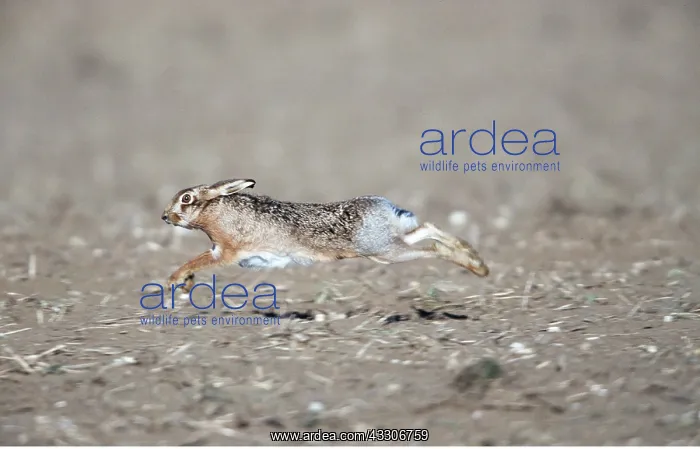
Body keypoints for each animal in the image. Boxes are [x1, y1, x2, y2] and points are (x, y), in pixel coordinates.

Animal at [161, 178, 489, 293]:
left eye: (187, 199)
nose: (165, 216)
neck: (214, 209)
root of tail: (385, 207)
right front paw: (184, 284)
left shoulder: (226, 251)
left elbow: (197, 261)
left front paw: (175, 281)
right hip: (388, 244)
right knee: (427, 229)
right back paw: (476, 259)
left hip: (386, 252)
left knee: (433, 249)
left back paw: (476, 267)